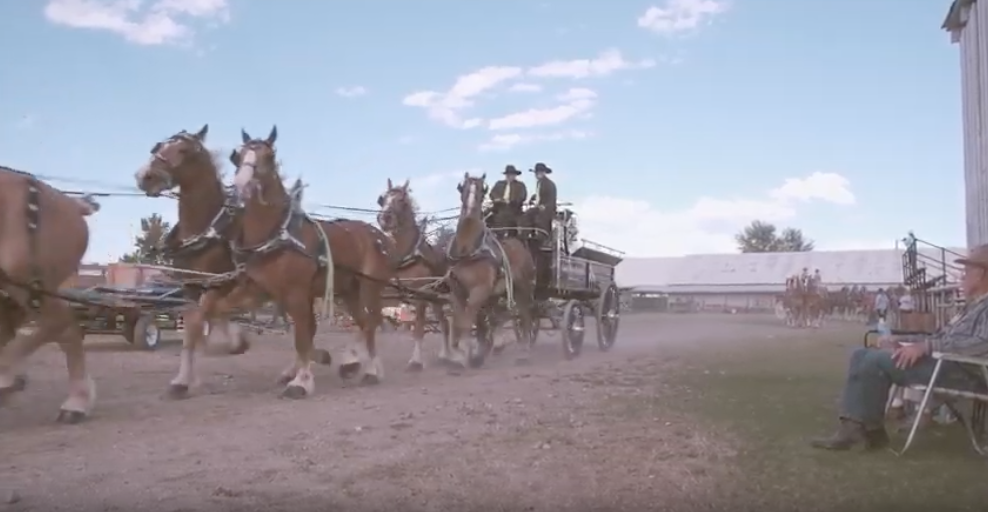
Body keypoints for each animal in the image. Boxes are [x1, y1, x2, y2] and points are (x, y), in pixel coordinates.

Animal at [134, 125, 330, 399]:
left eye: (184, 150)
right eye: (159, 146)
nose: (145, 176)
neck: (207, 229)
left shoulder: (222, 285)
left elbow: (209, 318)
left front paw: (234, 342)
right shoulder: (191, 288)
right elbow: (193, 330)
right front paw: (183, 380)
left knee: (305, 327)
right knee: (305, 326)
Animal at [223, 126, 394, 396]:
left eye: (270, 157)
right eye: (237, 157)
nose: (242, 185)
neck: (278, 234)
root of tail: (381, 237)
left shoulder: (296, 292)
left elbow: (303, 337)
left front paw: (301, 380)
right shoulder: (263, 290)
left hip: (370, 287)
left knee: (372, 322)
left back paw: (369, 369)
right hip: (349, 291)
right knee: (365, 322)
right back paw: (357, 364)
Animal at [376, 179, 450, 370]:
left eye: (402, 200)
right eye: (382, 199)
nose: (385, 218)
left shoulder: (421, 296)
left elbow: (418, 329)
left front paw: (415, 361)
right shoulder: (385, 296)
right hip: (435, 299)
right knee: (444, 323)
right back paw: (445, 355)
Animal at [445, 173, 536, 368]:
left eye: (481, 191)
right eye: (463, 189)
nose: (470, 213)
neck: (468, 250)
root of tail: (520, 244)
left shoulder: (478, 291)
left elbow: (467, 322)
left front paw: (466, 355)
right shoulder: (457, 292)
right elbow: (459, 323)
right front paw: (460, 355)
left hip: (522, 288)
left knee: (525, 316)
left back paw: (525, 351)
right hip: (498, 293)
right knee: (499, 316)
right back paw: (497, 347)